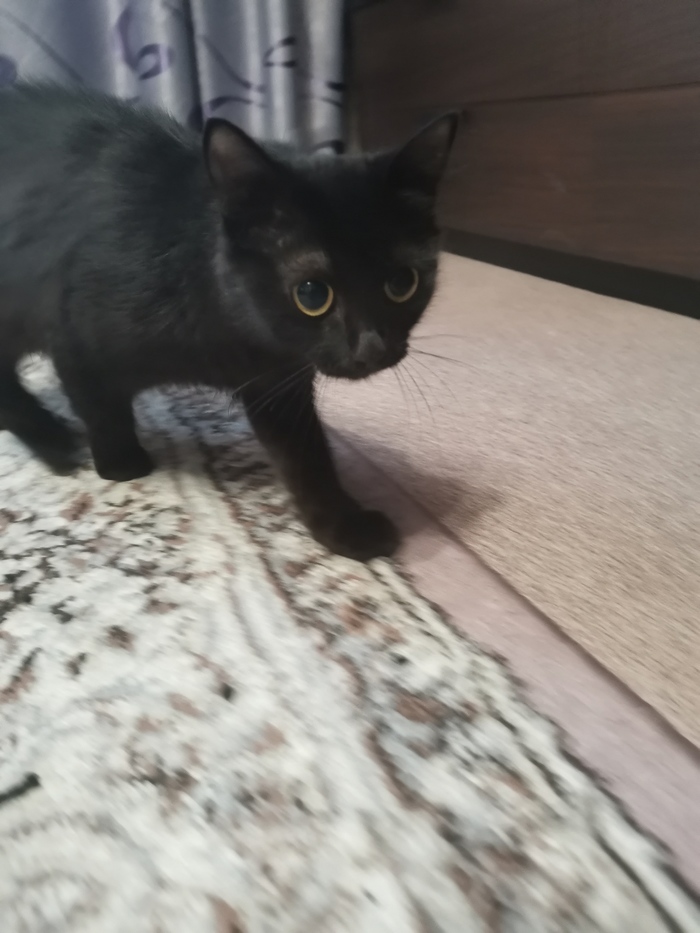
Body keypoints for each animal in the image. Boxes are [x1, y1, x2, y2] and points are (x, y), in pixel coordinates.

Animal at [0, 83, 457, 561]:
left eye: (403, 283)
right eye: (312, 294)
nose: (372, 346)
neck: (228, 331)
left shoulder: (278, 379)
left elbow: (307, 456)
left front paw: (342, 524)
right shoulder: (75, 339)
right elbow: (102, 412)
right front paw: (121, 465)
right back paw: (51, 439)